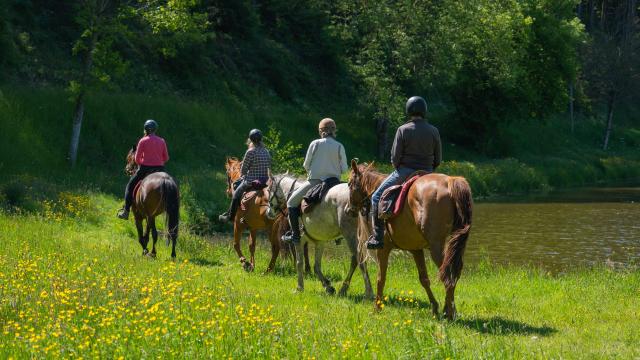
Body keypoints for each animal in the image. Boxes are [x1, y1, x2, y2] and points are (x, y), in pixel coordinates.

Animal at [348, 159, 472, 320]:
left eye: (349, 184)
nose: (349, 210)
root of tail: (450, 181)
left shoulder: (383, 249)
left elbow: (381, 278)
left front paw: (377, 308)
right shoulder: (416, 249)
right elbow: (424, 279)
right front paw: (434, 307)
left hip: (437, 247)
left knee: (448, 275)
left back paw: (449, 313)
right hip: (455, 246)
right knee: (453, 273)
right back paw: (449, 310)